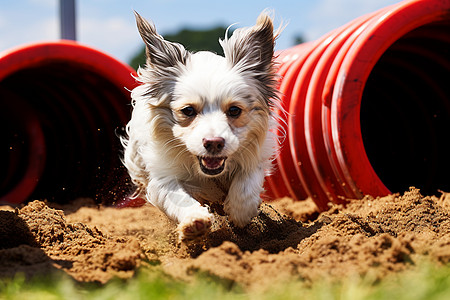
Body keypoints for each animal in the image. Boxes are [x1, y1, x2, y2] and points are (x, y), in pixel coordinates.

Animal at [121, 12, 284, 241]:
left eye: (235, 110)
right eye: (188, 110)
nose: (214, 143)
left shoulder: (256, 156)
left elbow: (246, 184)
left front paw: (239, 214)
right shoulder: (162, 178)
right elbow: (178, 197)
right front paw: (194, 222)